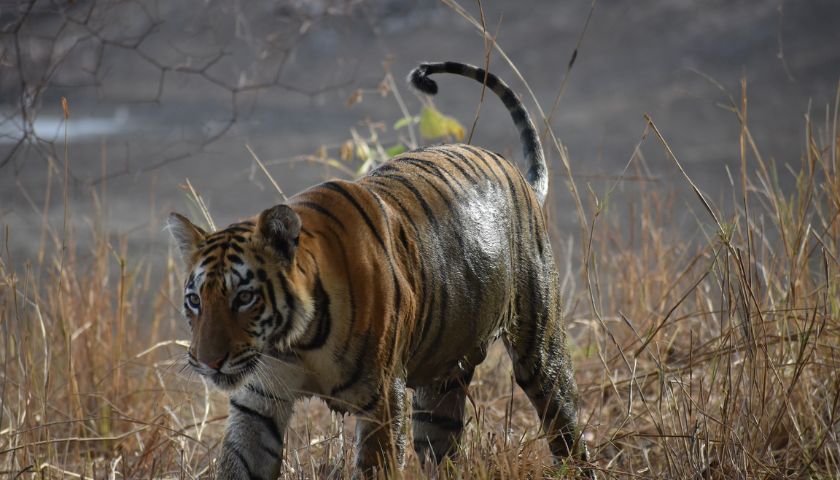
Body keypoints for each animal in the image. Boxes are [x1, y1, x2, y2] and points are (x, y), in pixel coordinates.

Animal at [167, 61, 591, 479]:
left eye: (245, 297)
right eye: (194, 301)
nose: (207, 362)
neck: (297, 343)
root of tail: (518, 176)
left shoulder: (383, 399)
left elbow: (376, 465)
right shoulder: (257, 401)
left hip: (538, 346)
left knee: (564, 421)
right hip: (441, 388)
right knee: (443, 449)